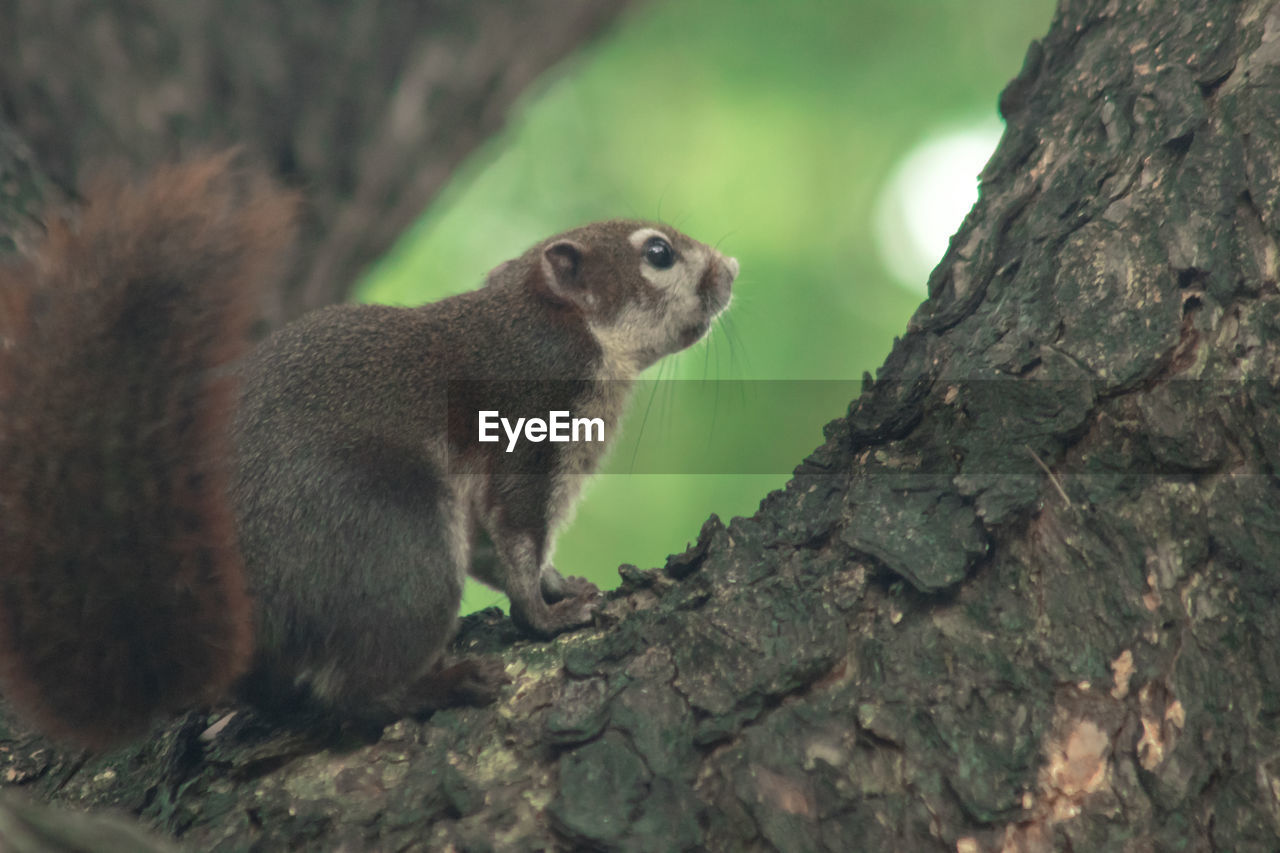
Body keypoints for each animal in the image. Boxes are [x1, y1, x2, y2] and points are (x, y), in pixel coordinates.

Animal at [0, 153, 737, 742]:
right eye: (657, 253)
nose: (729, 266)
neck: (551, 321)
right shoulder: (524, 431)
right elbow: (519, 541)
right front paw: (548, 616)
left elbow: (502, 550)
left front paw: (563, 585)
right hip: (395, 537)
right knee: (352, 695)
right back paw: (445, 683)